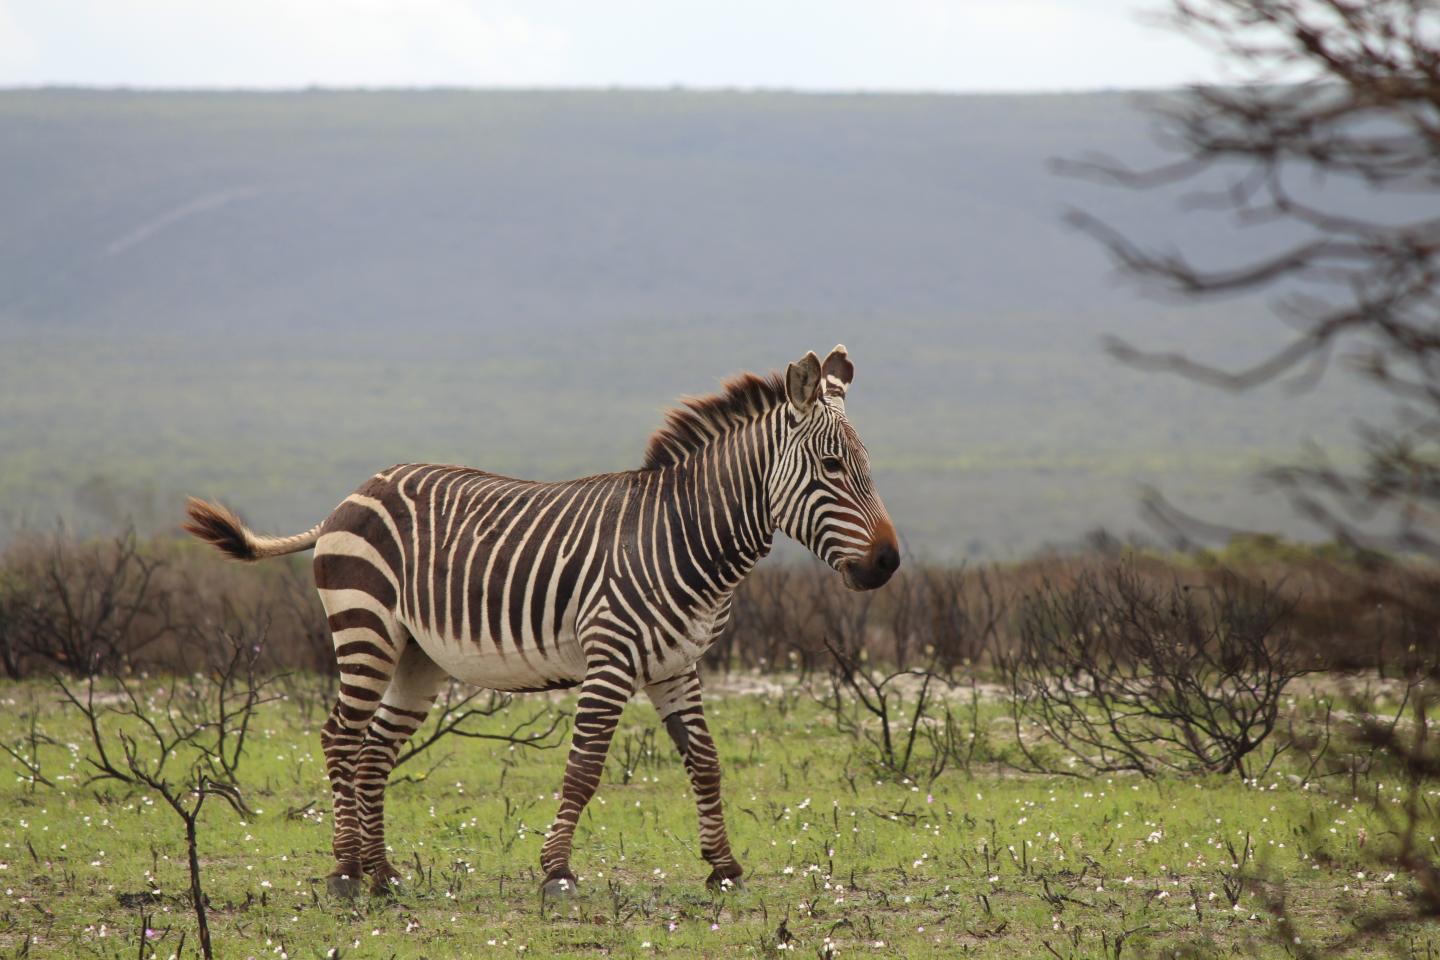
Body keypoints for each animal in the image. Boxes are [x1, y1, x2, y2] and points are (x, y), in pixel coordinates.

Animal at [184, 345, 892, 903]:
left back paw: (382, 873)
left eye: (868, 465)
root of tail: (353, 493)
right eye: (833, 468)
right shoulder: (611, 658)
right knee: (339, 737)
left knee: (375, 748)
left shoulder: (677, 666)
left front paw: (723, 867)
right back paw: (344, 872)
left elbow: (706, 763)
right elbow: (584, 768)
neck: (686, 536)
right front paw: (556, 872)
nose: (888, 562)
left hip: (417, 656)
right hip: (365, 629)